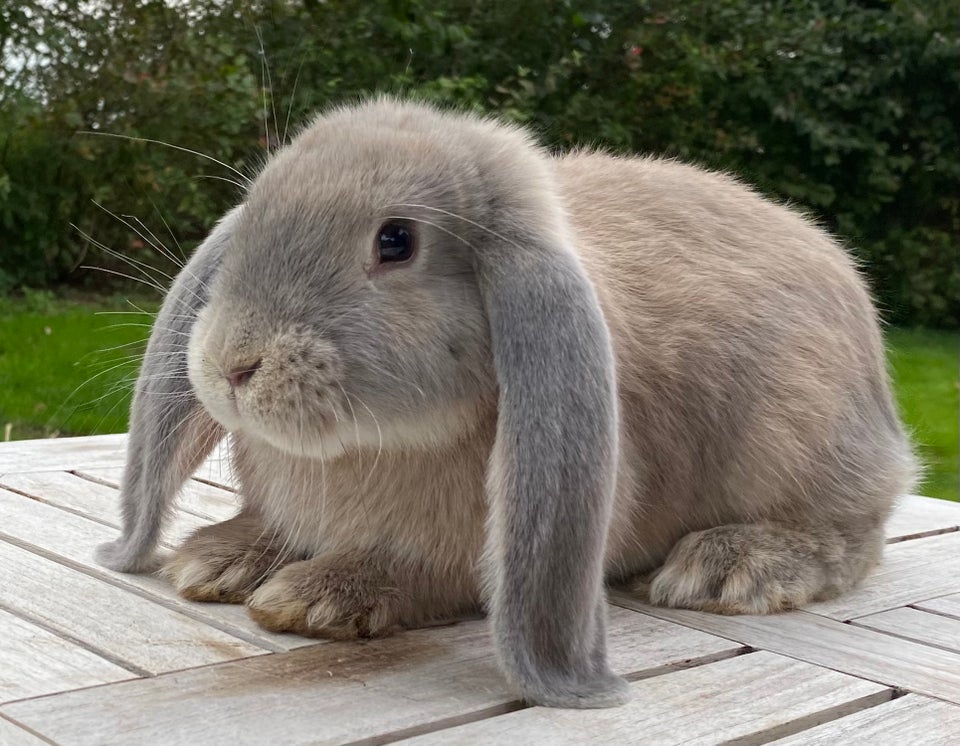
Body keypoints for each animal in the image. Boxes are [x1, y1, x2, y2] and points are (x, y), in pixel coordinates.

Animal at [95, 97, 916, 704]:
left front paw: (317, 596)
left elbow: (430, 571)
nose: (233, 364)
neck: (372, 448)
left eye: (396, 241)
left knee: (852, 538)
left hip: (799, 441)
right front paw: (218, 560)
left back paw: (729, 567)